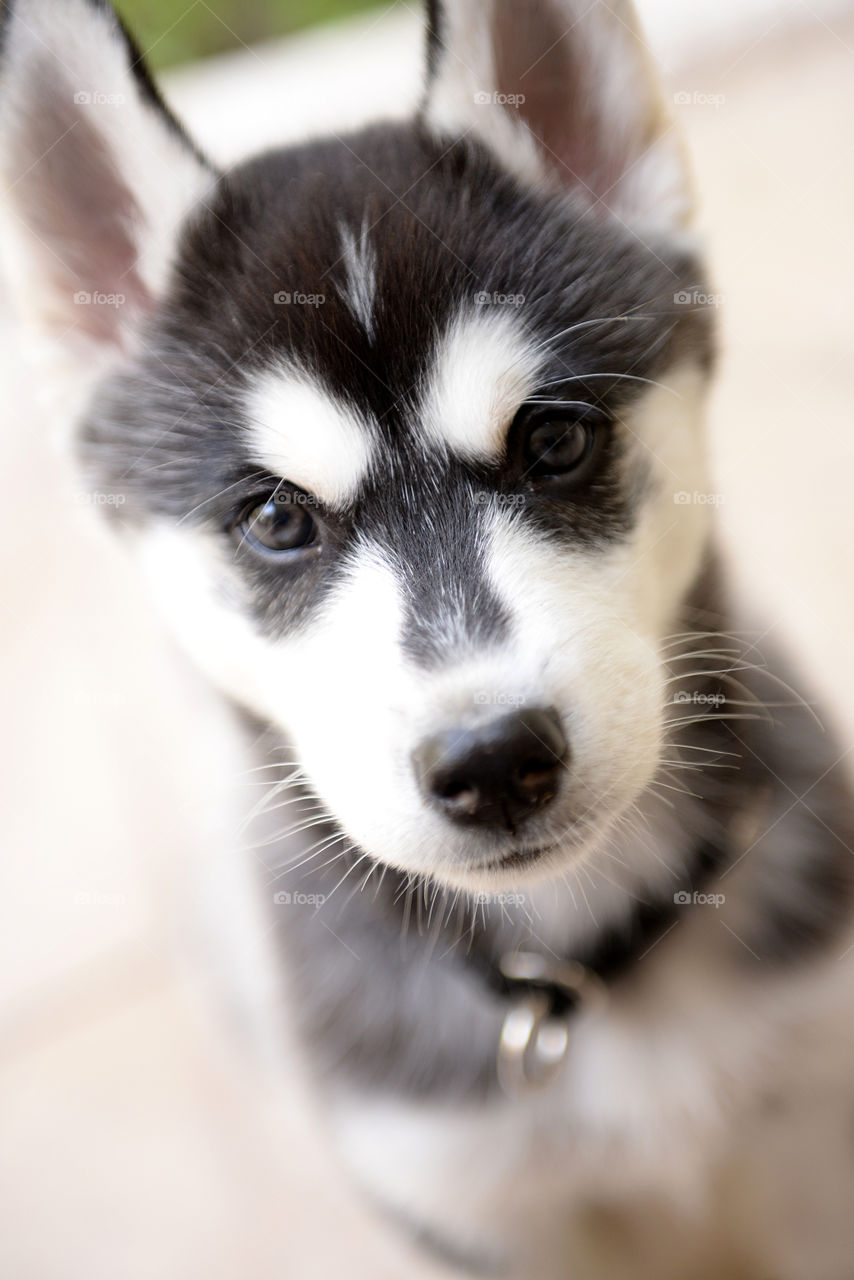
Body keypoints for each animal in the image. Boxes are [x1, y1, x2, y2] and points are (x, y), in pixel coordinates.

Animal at [1, 0, 854, 1274]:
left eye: (553, 440)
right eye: (274, 518)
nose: (493, 760)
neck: (571, 980)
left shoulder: (813, 1121)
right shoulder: (461, 1199)